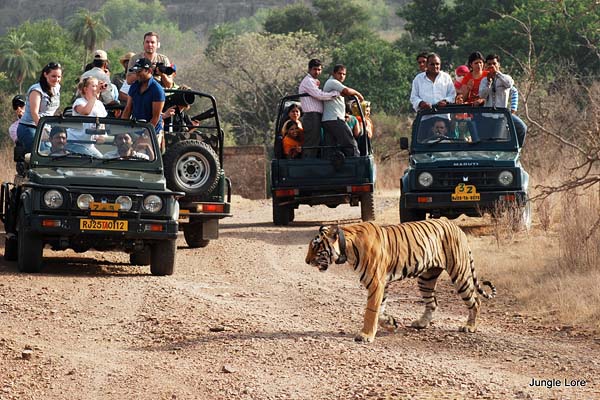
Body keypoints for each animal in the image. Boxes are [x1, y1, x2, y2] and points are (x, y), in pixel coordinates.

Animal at [304, 217, 496, 342]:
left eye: (316, 247)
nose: (306, 261)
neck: (347, 248)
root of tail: (457, 227)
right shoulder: (382, 284)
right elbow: (380, 310)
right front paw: (390, 323)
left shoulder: (376, 282)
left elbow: (370, 311)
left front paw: (365, 335)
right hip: (426, 278)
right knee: (432, 302)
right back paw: (421, 323)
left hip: (460, 273)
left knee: (475, 300)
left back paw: (470, 327)